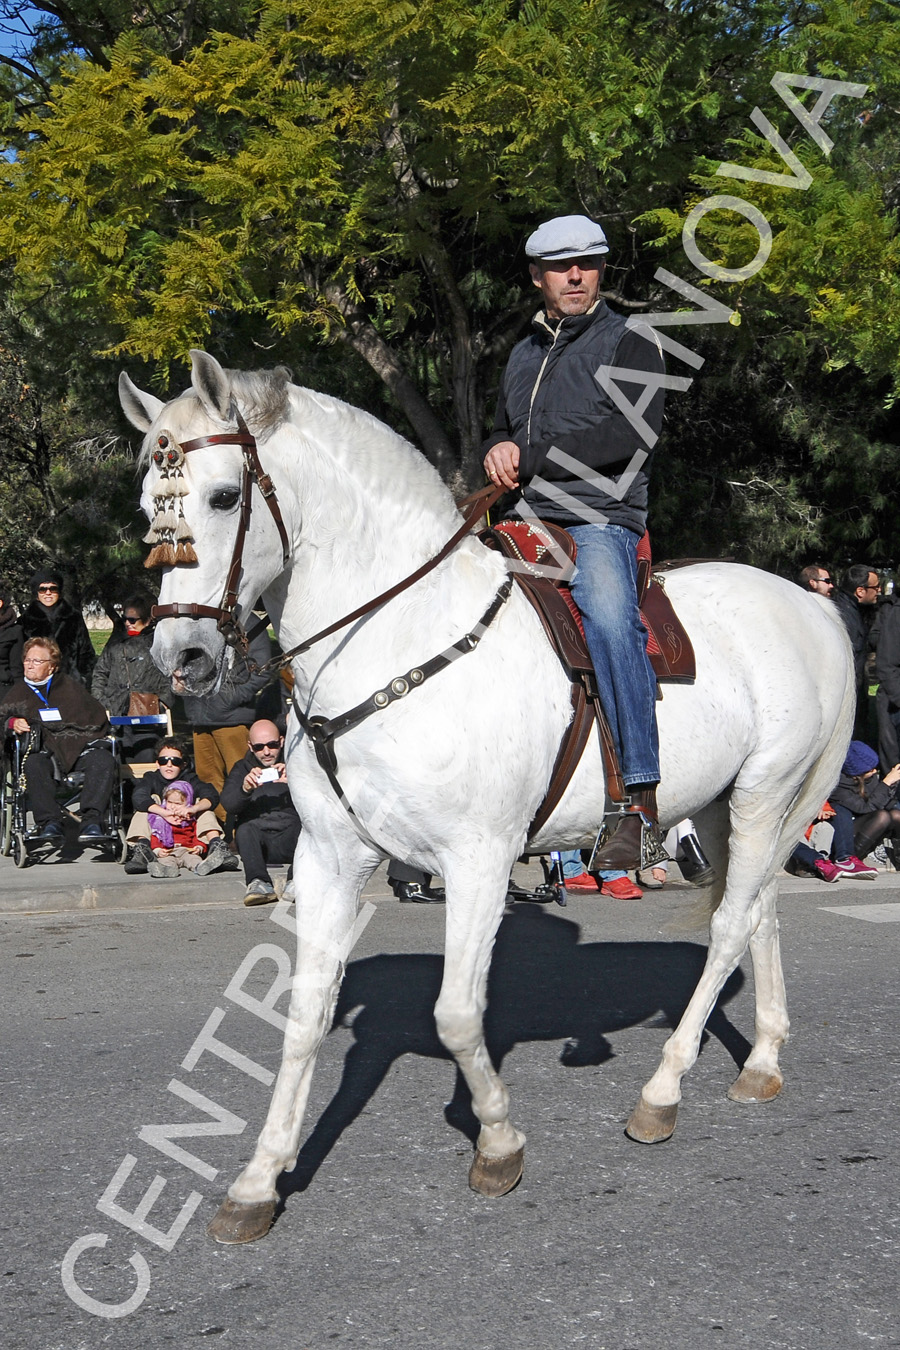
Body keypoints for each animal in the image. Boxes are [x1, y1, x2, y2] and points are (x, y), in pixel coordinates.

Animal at [121, 351, 858, 1242]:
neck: (397, 640)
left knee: (726, 931)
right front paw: (260, 1181)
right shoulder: (330, 857)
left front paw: (498, 1143)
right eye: (147, 507)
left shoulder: (478, 859)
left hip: (762, 793)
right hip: (727, 806)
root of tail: (808, 601)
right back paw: (761, 1062)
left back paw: (661, 1093)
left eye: (226, 496)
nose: (182, 657)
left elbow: (455, 1015)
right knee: (758, 914)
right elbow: (304, 1016)